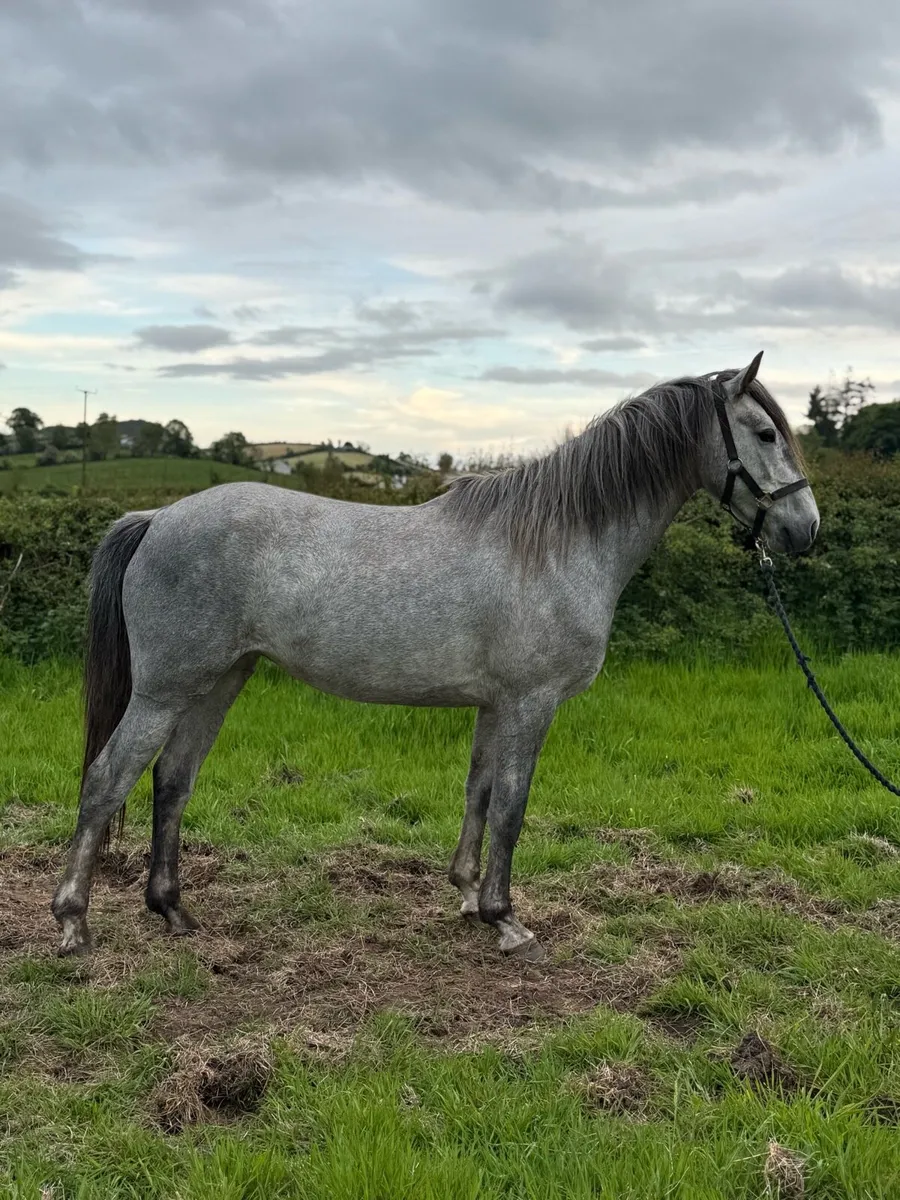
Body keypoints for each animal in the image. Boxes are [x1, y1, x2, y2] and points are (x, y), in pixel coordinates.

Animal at [51, 353, 819, 960]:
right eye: (765, 433)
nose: (805, 530)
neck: (554, 542)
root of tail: (157, 518)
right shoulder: (531, 704)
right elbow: (512, 803)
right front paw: (508, 922)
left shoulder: (495, 705)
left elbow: (478, 792)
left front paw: (468, 898)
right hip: (165, 689)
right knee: (107, 780)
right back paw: (73, 924)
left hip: (217, 682)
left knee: (172, 781)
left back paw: (173, 911)